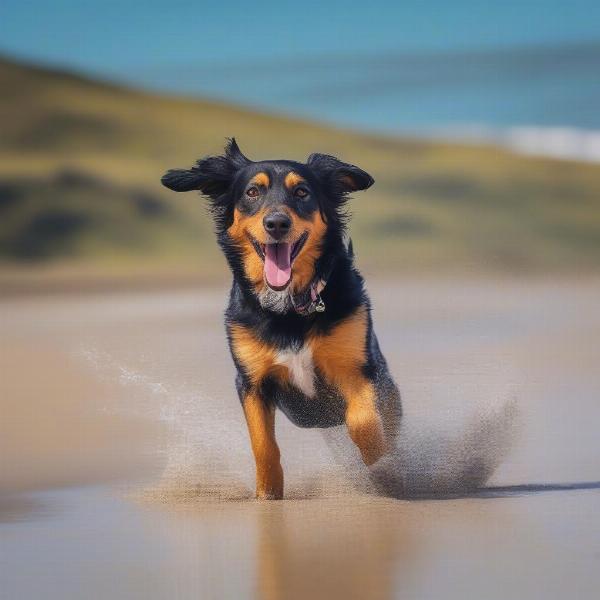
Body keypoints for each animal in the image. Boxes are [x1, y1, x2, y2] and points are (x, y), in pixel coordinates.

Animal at [162, 138, 400, 500]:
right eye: (252, 192)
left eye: (302, 192)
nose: (276, 223)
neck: (289, 306)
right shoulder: (251, 381)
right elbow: (263, 444)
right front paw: (267, 496)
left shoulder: (359, 369)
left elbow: (364, 421)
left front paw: (381, 470)